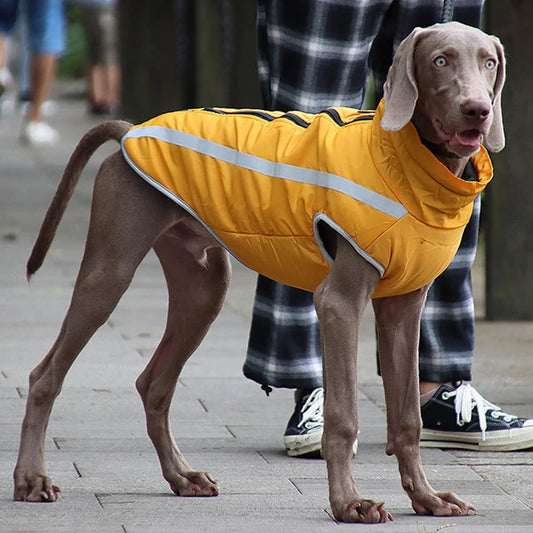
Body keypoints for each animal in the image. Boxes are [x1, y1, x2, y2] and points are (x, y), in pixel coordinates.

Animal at [12, 22, 502, 520]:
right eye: (440, 60)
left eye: (489, 62)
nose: (478, 110)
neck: (407, 163)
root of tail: (131, 131)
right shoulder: (339, 304)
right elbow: (344, 417)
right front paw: (349, 502)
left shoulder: (403, 310)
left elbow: (408, 419)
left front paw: (426, 498)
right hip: (109, 272)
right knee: (45, 376)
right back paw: (31, 479)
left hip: (204, 289)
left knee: (154, 385)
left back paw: (182, 476)